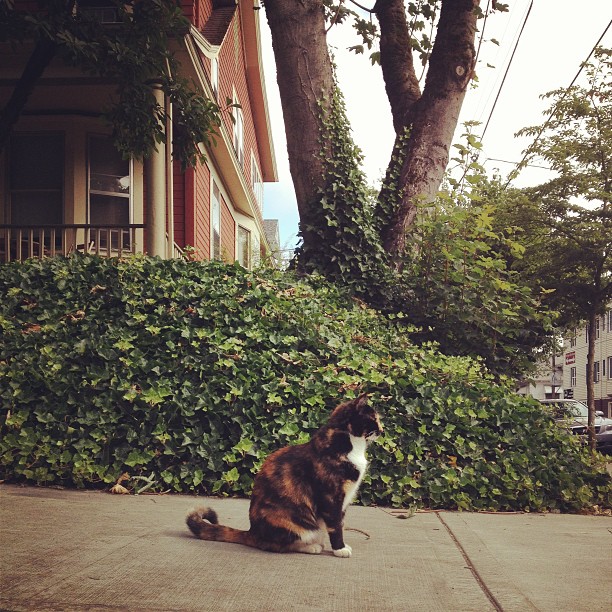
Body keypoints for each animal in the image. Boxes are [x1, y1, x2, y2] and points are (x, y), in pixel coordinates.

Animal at [186, 394, 383, 558]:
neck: (351, 445)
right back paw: (312, 547)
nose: (382, 430)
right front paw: (340, 549)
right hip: (292, 523)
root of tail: (252, 532)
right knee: (277, 545)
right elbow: (335, 526)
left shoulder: (343, 501)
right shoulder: (331, 498)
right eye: (374, 418)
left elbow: (340, 523)